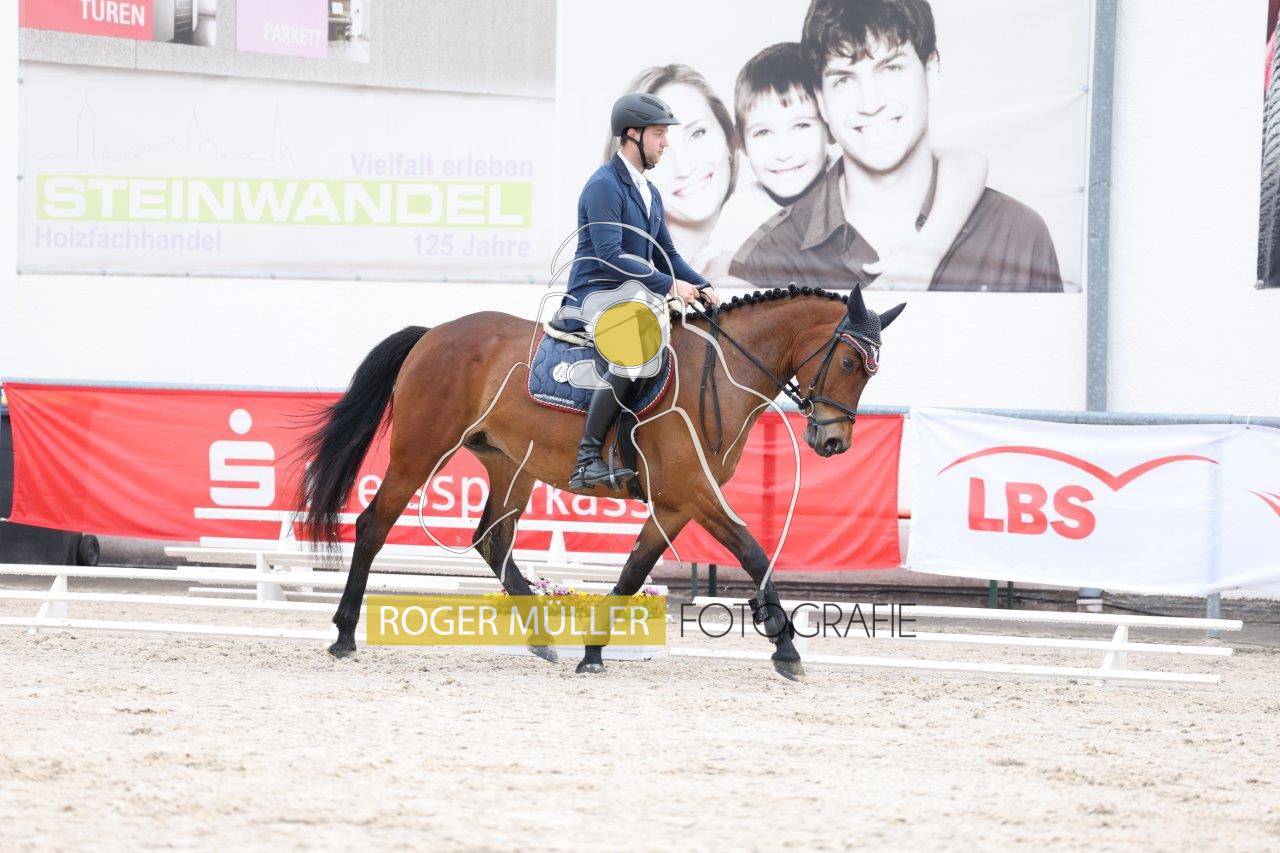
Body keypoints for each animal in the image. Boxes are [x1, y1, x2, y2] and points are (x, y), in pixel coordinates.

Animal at [296, 283, 904, 680]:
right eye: (849, 363)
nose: (833, 443)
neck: (720, 375)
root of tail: (433, 335)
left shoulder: (676, 503)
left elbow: (634, 571)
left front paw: (592, 651)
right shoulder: (694, 492)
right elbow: (752, 550)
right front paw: (785, 647)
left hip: (510, 464)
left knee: (492, 539)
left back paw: (543, 641)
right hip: (420, 451)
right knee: (374, 525)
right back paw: (344, 633)